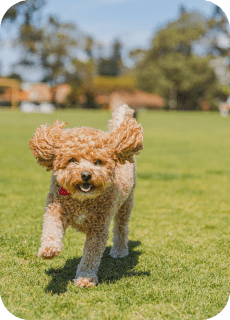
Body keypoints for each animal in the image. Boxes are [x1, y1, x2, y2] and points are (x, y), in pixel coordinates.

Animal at [29, 104, 144, 288]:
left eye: (98, 162)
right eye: (72, 160)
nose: (86, 175)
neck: (82, 200)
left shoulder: (98, 228)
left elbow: (91, 255)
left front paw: (85, 278)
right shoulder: (55, 208)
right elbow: (51, 228)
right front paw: (49, 249)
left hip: (126, 203)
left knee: (121, 228)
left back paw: (119, 250)